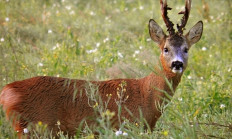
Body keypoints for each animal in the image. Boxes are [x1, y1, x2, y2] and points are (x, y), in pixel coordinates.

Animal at [0, 0, 203, 137]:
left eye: (186, 49)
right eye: (165, 48)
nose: (177, 64)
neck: (145, 96)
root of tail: (6, 90)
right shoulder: (126, 127)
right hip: (31, 128)